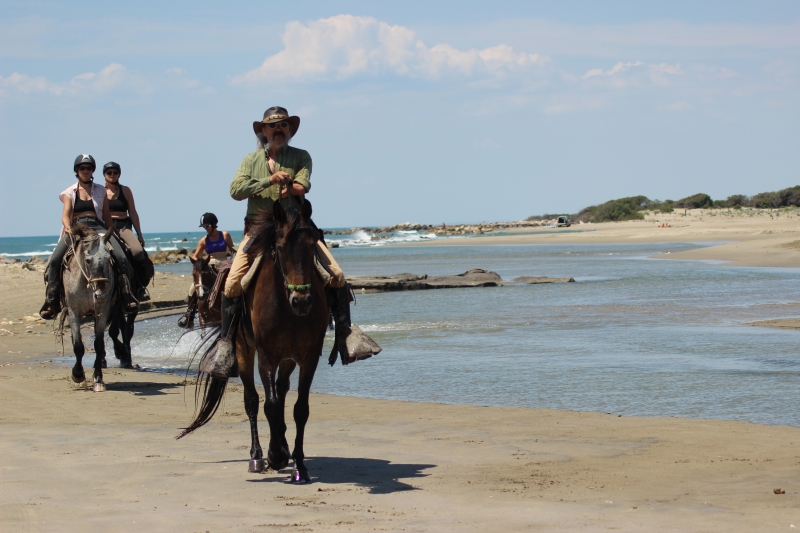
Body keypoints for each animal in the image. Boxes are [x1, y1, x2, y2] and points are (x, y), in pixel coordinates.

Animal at [61, 220, 117, 390]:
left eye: (109, 258)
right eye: (87, 260)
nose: (101, 295)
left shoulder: (102, 312)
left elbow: (98, 345)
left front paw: (98, 378)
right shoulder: (73, 312)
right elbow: (78, 346)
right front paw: (78, 374)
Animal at [179, 201, 332, 482]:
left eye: (313, 244)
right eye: (280, 247)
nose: (302, 301)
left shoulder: (308, 357)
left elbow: (300, 408)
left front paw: (299, 464)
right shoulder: (266, 355)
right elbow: (268, 405)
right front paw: (275, 455)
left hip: (288, 358)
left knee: (281, 390)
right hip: (243, 351)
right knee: (251, 400)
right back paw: (257, 456)